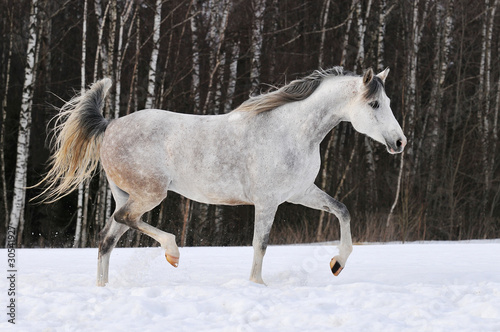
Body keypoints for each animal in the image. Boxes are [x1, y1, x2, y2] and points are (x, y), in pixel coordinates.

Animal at [38, 67, 406, 286]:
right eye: (374, 104)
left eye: (388, 100)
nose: (400, 142)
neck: (291, 131)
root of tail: (109, 125)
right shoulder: (268, 202)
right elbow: (261, 243)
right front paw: (257, 285)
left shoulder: (301, 192)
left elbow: (342, 210)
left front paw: (336, 263)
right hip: (149, 194)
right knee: (123, 221)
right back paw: (172, 252)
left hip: (128, 194)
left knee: (106, 239)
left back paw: (104, 289)